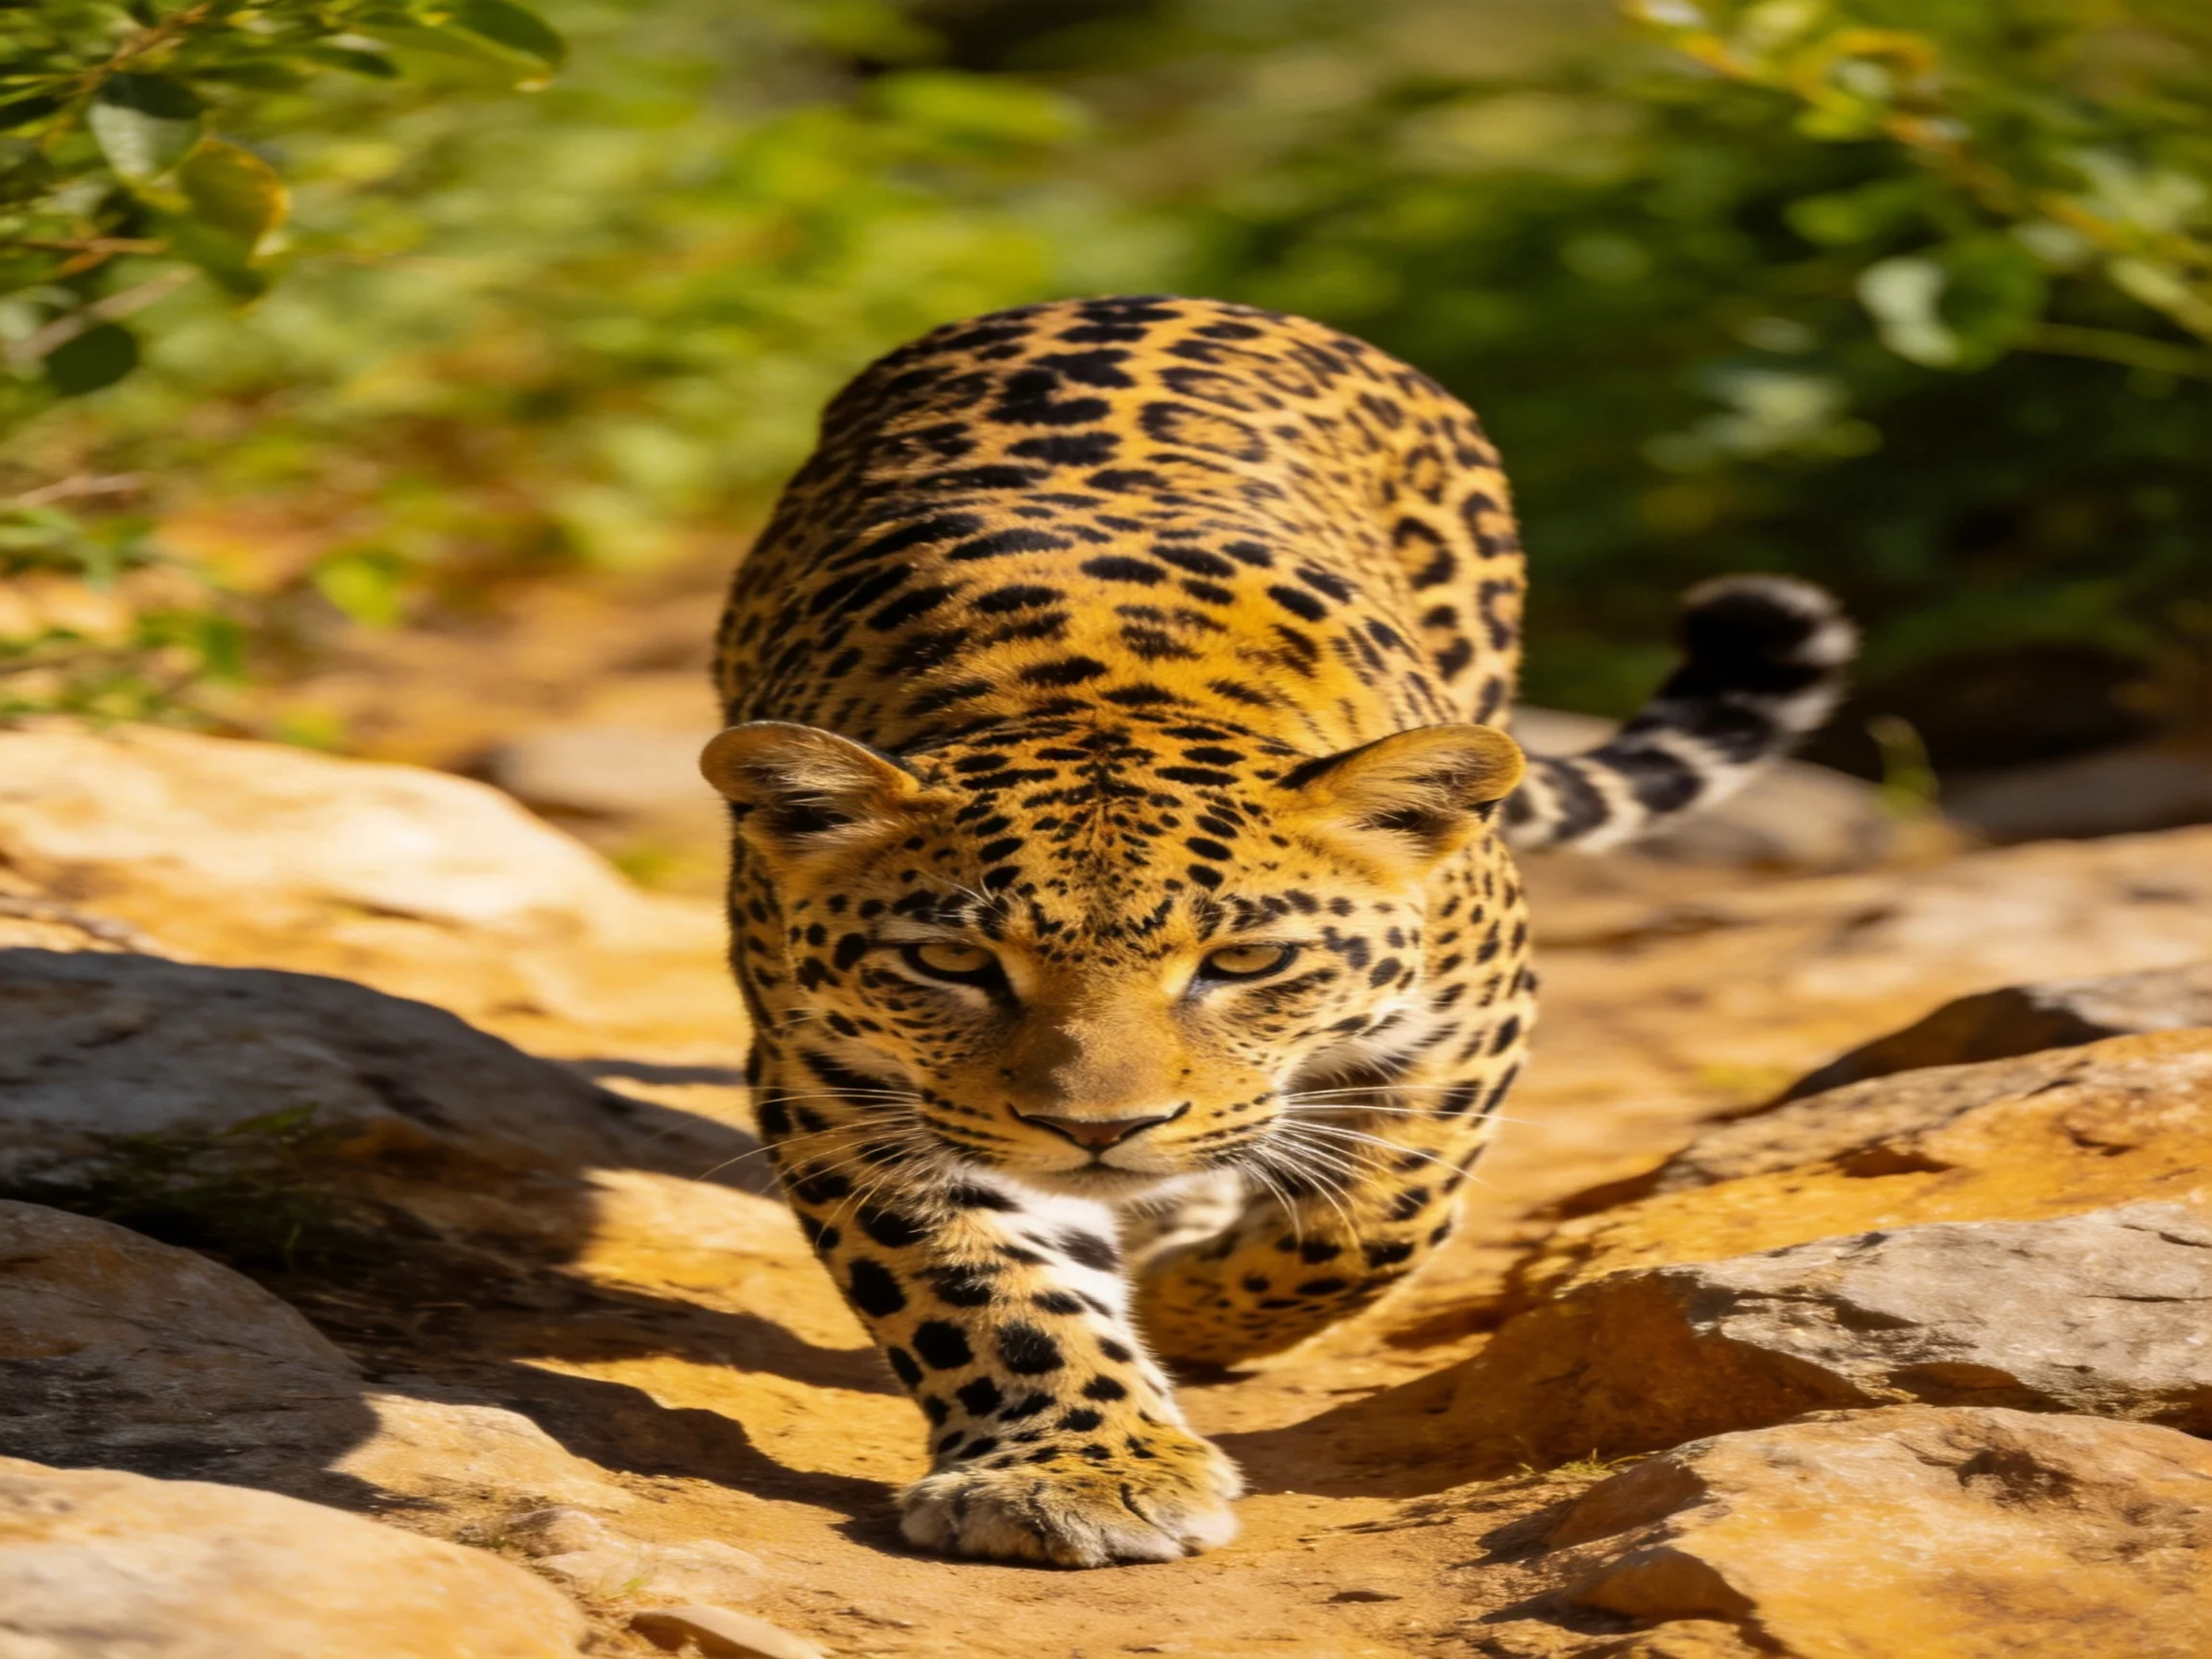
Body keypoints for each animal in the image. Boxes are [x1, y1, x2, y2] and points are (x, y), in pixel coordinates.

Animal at [703, 295, 1852, 1567]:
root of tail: (1146, 296)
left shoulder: (1471, 1020)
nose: (1099, 1133)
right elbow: (976, 1284)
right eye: (952, 962)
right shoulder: (837, 1079)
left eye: (1243, 962)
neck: (1095, 694)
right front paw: (1084, 1470)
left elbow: (1375, 1219)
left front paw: (1190, 1309)